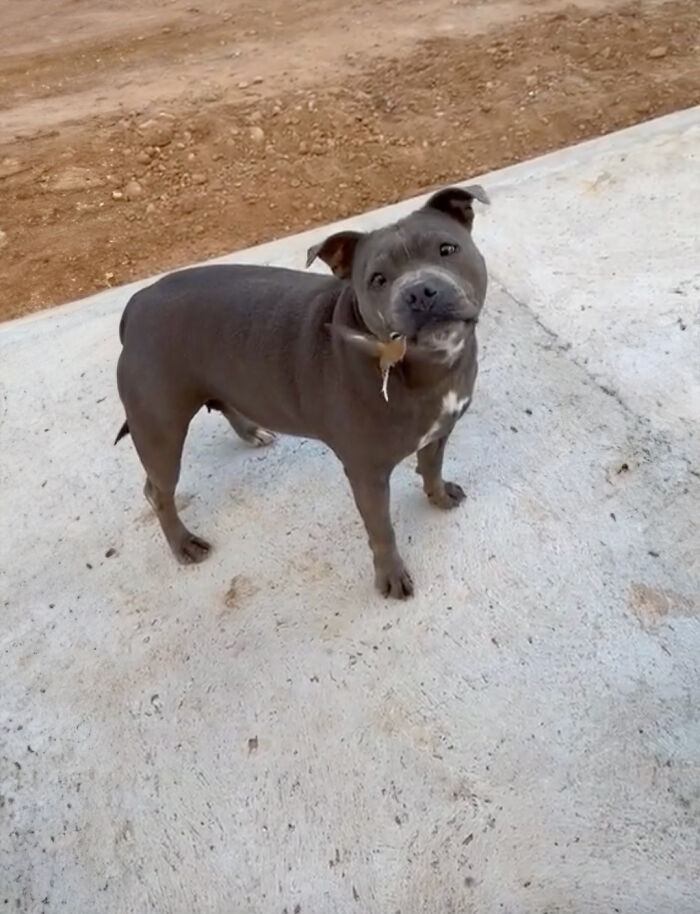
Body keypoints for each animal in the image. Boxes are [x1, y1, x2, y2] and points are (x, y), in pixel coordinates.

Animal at [115, 185, 490, 600]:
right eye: (377, 279)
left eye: (447, 249)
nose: (420, 293)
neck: (426, 367)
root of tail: (137, 303)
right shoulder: (367, 473)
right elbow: (381, 529)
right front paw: (390, 576)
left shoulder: (441, 430)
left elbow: (432, 467)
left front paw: (439, 496)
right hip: (160, 431)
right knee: (158, 491)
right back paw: (183, 543)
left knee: (225, 401)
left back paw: (252, 431)